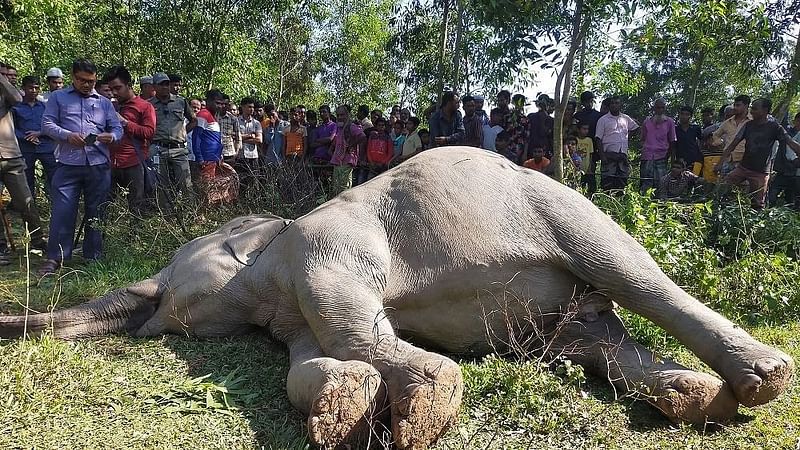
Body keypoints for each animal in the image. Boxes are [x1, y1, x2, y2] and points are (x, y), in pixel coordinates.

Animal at [0, 148, 792, 450]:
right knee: (599, 340)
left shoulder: (322, 245)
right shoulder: (289, 311)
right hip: (567, 321)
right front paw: (342, 408)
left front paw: (428, 406)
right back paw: (696, 400)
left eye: (168, 274)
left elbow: (349, 307)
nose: (151, 313)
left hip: (564, 210)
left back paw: (763, 378)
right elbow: (308, 358)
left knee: (633, 273)